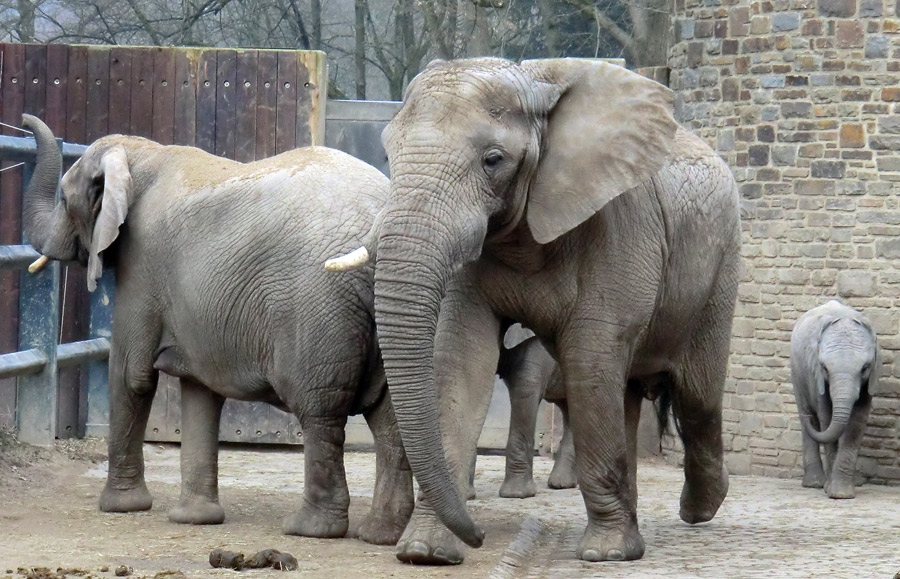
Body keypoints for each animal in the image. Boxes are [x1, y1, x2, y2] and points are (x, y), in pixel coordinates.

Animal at [22, 115, 414, 548]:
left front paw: (120, 507)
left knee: (321, 412)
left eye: (63, 198)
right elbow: (199, 391)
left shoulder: (142, 266)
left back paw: (310, 529)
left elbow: (132, 376)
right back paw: (380, 535)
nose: (23, 121)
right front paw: (195, 519)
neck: (142, 154)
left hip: (319, 307)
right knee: (390, 414)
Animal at [326, 59, 740, 568]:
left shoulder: (618, 223)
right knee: (628, 393)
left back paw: (699, 508)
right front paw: (426, 552)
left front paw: (605, 554)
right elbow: (462, 359)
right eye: (388, 155)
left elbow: (590, 356)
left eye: (493, 160)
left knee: (696, 396)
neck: (536, 84)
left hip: (721, 264)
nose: (481, 536)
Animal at [792, 302, 876, 500]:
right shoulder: (816, 377)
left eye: (865, 368)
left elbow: (856, 423)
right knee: (809, 417)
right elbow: (826, 418)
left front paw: (841, 494)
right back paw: (814, 484)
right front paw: (830, 490)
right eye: (824, 368)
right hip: (796, 373)